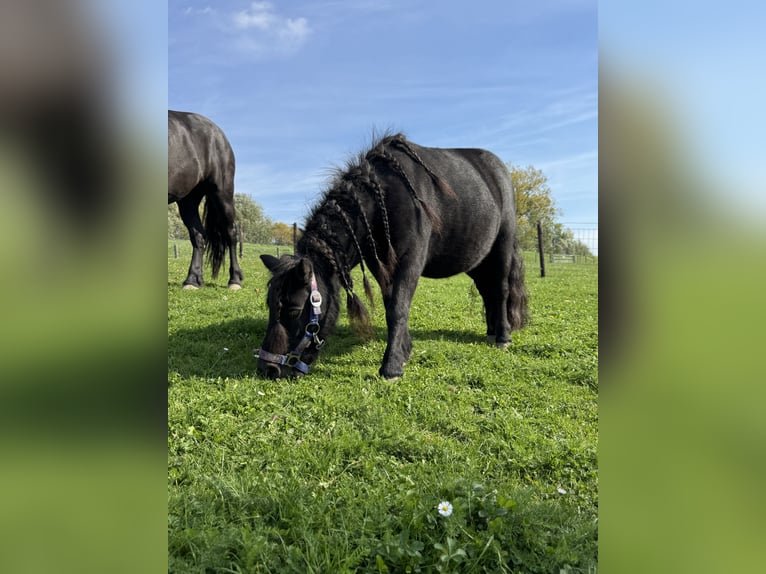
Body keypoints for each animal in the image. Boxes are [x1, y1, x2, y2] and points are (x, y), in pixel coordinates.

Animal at [168, 110, 243, 290]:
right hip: (188, 201)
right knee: (198, 236)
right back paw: (192, 280)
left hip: (222, 193)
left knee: (231, 233)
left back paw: (234, 280)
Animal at [256, 133, 528, 379]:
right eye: (270, 304)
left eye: (293, 310)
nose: (268, 369)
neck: (382, 201)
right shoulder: (382, 267)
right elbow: (391, 305)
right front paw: (404, 350)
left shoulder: (409, 262)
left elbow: (398, 307)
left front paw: (392, 366)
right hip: (478, 260)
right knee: (488, 291)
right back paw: (491, 331)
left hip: (502, 247)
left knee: (501, 290)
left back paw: (503, 336)